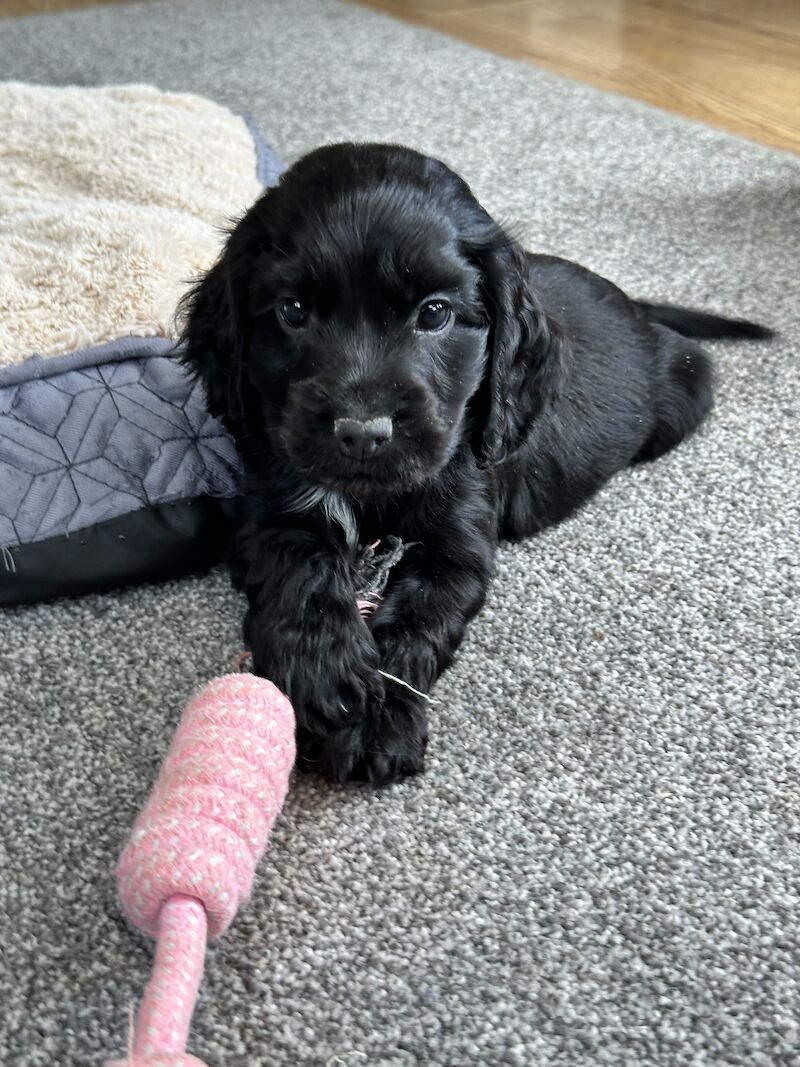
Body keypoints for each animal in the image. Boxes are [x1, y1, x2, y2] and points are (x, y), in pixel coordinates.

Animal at [180, 141, 772, 785]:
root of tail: (636, 306)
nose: (362, 433)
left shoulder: (459, 539)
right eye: (291, 311)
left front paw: (378, 722)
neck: (371, 499)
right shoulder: (270, 505)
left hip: (689, 387)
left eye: (434, 313)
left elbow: (421, 614)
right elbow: (299, 567)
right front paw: (325, 670)